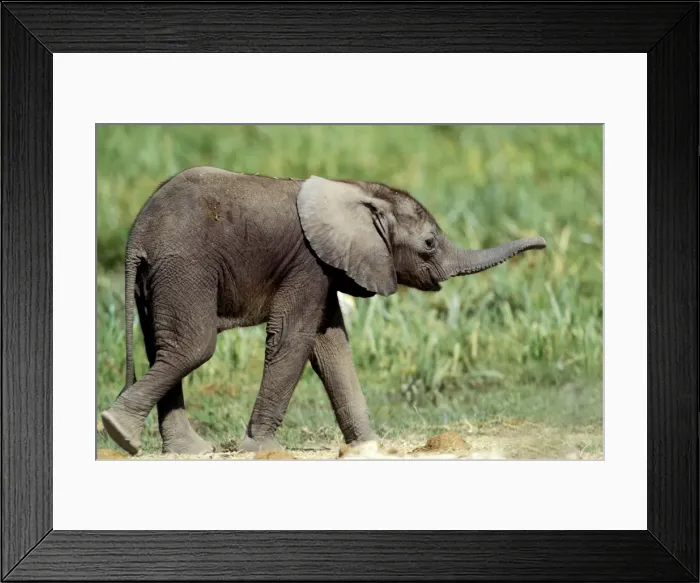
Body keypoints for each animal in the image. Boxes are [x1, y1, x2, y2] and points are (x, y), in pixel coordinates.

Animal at [100, 167, 546, 455]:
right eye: (430, 244)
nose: (542, 243)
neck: (354, 189)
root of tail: (136, 234)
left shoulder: (329, 265)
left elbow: (331, 346)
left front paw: (368, 447)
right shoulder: (308, 262)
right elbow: (293, 339)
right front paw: (262, 449)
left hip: (159, 278)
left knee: (162, 349)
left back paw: (183, 450)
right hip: (184, 266)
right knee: (193, 347)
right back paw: (119, 431)